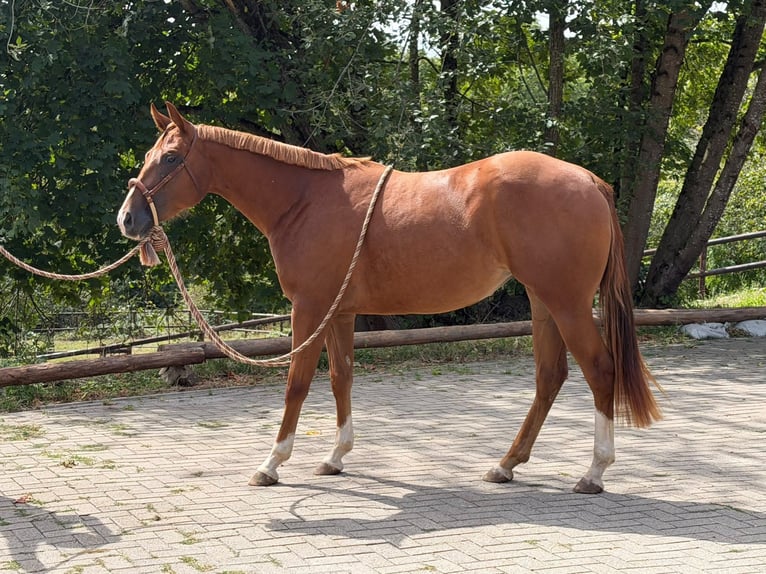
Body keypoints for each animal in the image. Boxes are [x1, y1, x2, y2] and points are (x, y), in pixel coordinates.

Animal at [118, 102, 662, 494]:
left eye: (170, 158)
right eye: (147, 156)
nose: (128, 219)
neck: (304, 201)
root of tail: (588, 180)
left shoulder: (308, 309)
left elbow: (297, 384)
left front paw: (272, 463)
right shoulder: (338, 313)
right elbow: (340, 378)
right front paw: (335, 457)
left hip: (566, 303)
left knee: (600, 371)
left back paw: (594, 472)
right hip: (542, 301)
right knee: (550, 377)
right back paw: (505, 465)